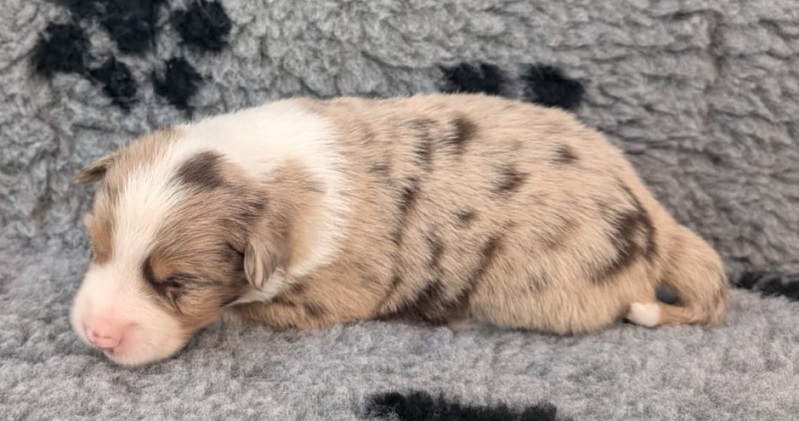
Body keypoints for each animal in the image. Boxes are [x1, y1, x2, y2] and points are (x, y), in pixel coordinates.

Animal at [70, 93, 729, 366]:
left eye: (178, 284)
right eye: (96, 246)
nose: (97, 335)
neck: (271, 172)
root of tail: (656, 214)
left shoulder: (338, 291)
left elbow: (245, 311)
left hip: (533, 286)